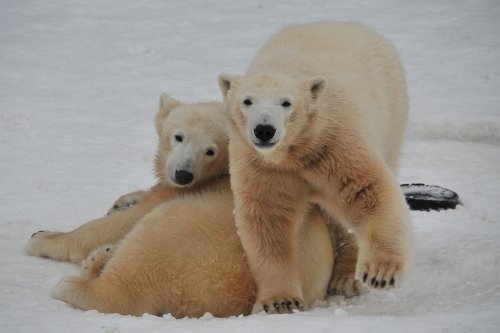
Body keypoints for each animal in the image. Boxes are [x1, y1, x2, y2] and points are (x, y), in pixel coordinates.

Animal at [26, 94, 229, 264]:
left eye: (210, 151)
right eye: (179, 136)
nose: (183, 175)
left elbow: (122, 223)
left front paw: (42, 237)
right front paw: (124, 202)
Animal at [219, 22, 414, 312]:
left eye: (286, 102)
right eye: (247, 100)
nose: (264, 130)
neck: (295, 151)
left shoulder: (333, 141)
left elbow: (367, 189)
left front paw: (380, 273)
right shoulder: (263, 165)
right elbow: (269, 219)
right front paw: (280, 301)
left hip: (392, 111)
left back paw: (346, 278)